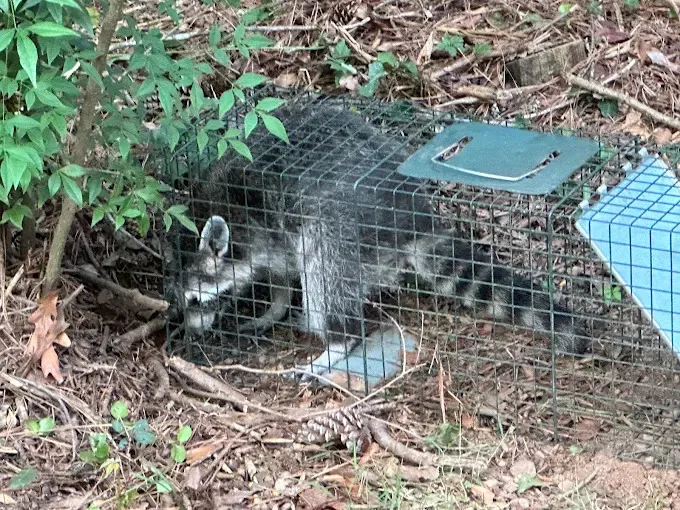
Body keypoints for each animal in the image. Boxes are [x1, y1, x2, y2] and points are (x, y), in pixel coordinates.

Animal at [170, 102, 590, 377]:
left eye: (195, 300)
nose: (193, 332)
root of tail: (412, 214)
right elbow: (282, 270)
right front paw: (275, 304)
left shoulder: (264, 221)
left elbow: (299, 266)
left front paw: (281, 303)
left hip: (342, 220)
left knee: (324, 271)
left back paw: (337, 342)